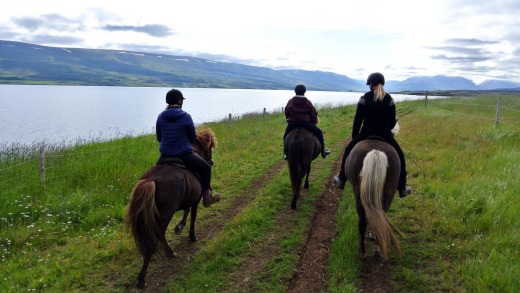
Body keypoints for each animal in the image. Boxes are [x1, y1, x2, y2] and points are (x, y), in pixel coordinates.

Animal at [124, 127, 217, 288]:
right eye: (209, 146)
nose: (210, 161)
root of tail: (152, 180)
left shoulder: (188, 199)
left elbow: (186, 211)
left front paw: (179, 226)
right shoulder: (195, 201)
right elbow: (193, 216)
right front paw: (192, 236)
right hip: (165, 213)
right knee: (158, 235)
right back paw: (145, 276)